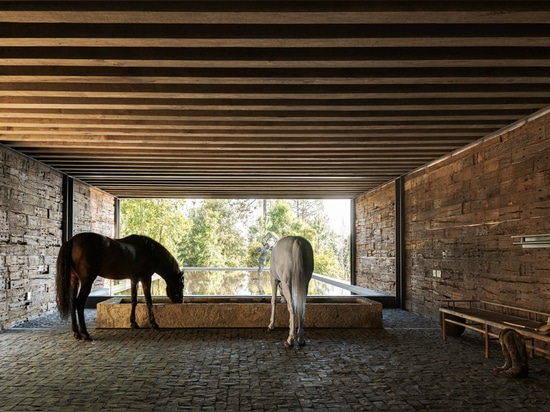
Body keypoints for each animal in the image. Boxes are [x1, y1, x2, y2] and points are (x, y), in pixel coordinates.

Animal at [56, 232, 185, 342]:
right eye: (181, 285)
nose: (180, 301)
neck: (149, 251)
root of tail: (71, 241)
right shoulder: (146, 278)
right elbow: (149, 301)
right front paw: (154, 324)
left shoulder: (134, 280)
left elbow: (134, 301)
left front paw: (133, 323)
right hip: (86, 282)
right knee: (79, 303)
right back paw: (85, 334)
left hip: (74, 280)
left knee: (73, 303)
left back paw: (76, 333)